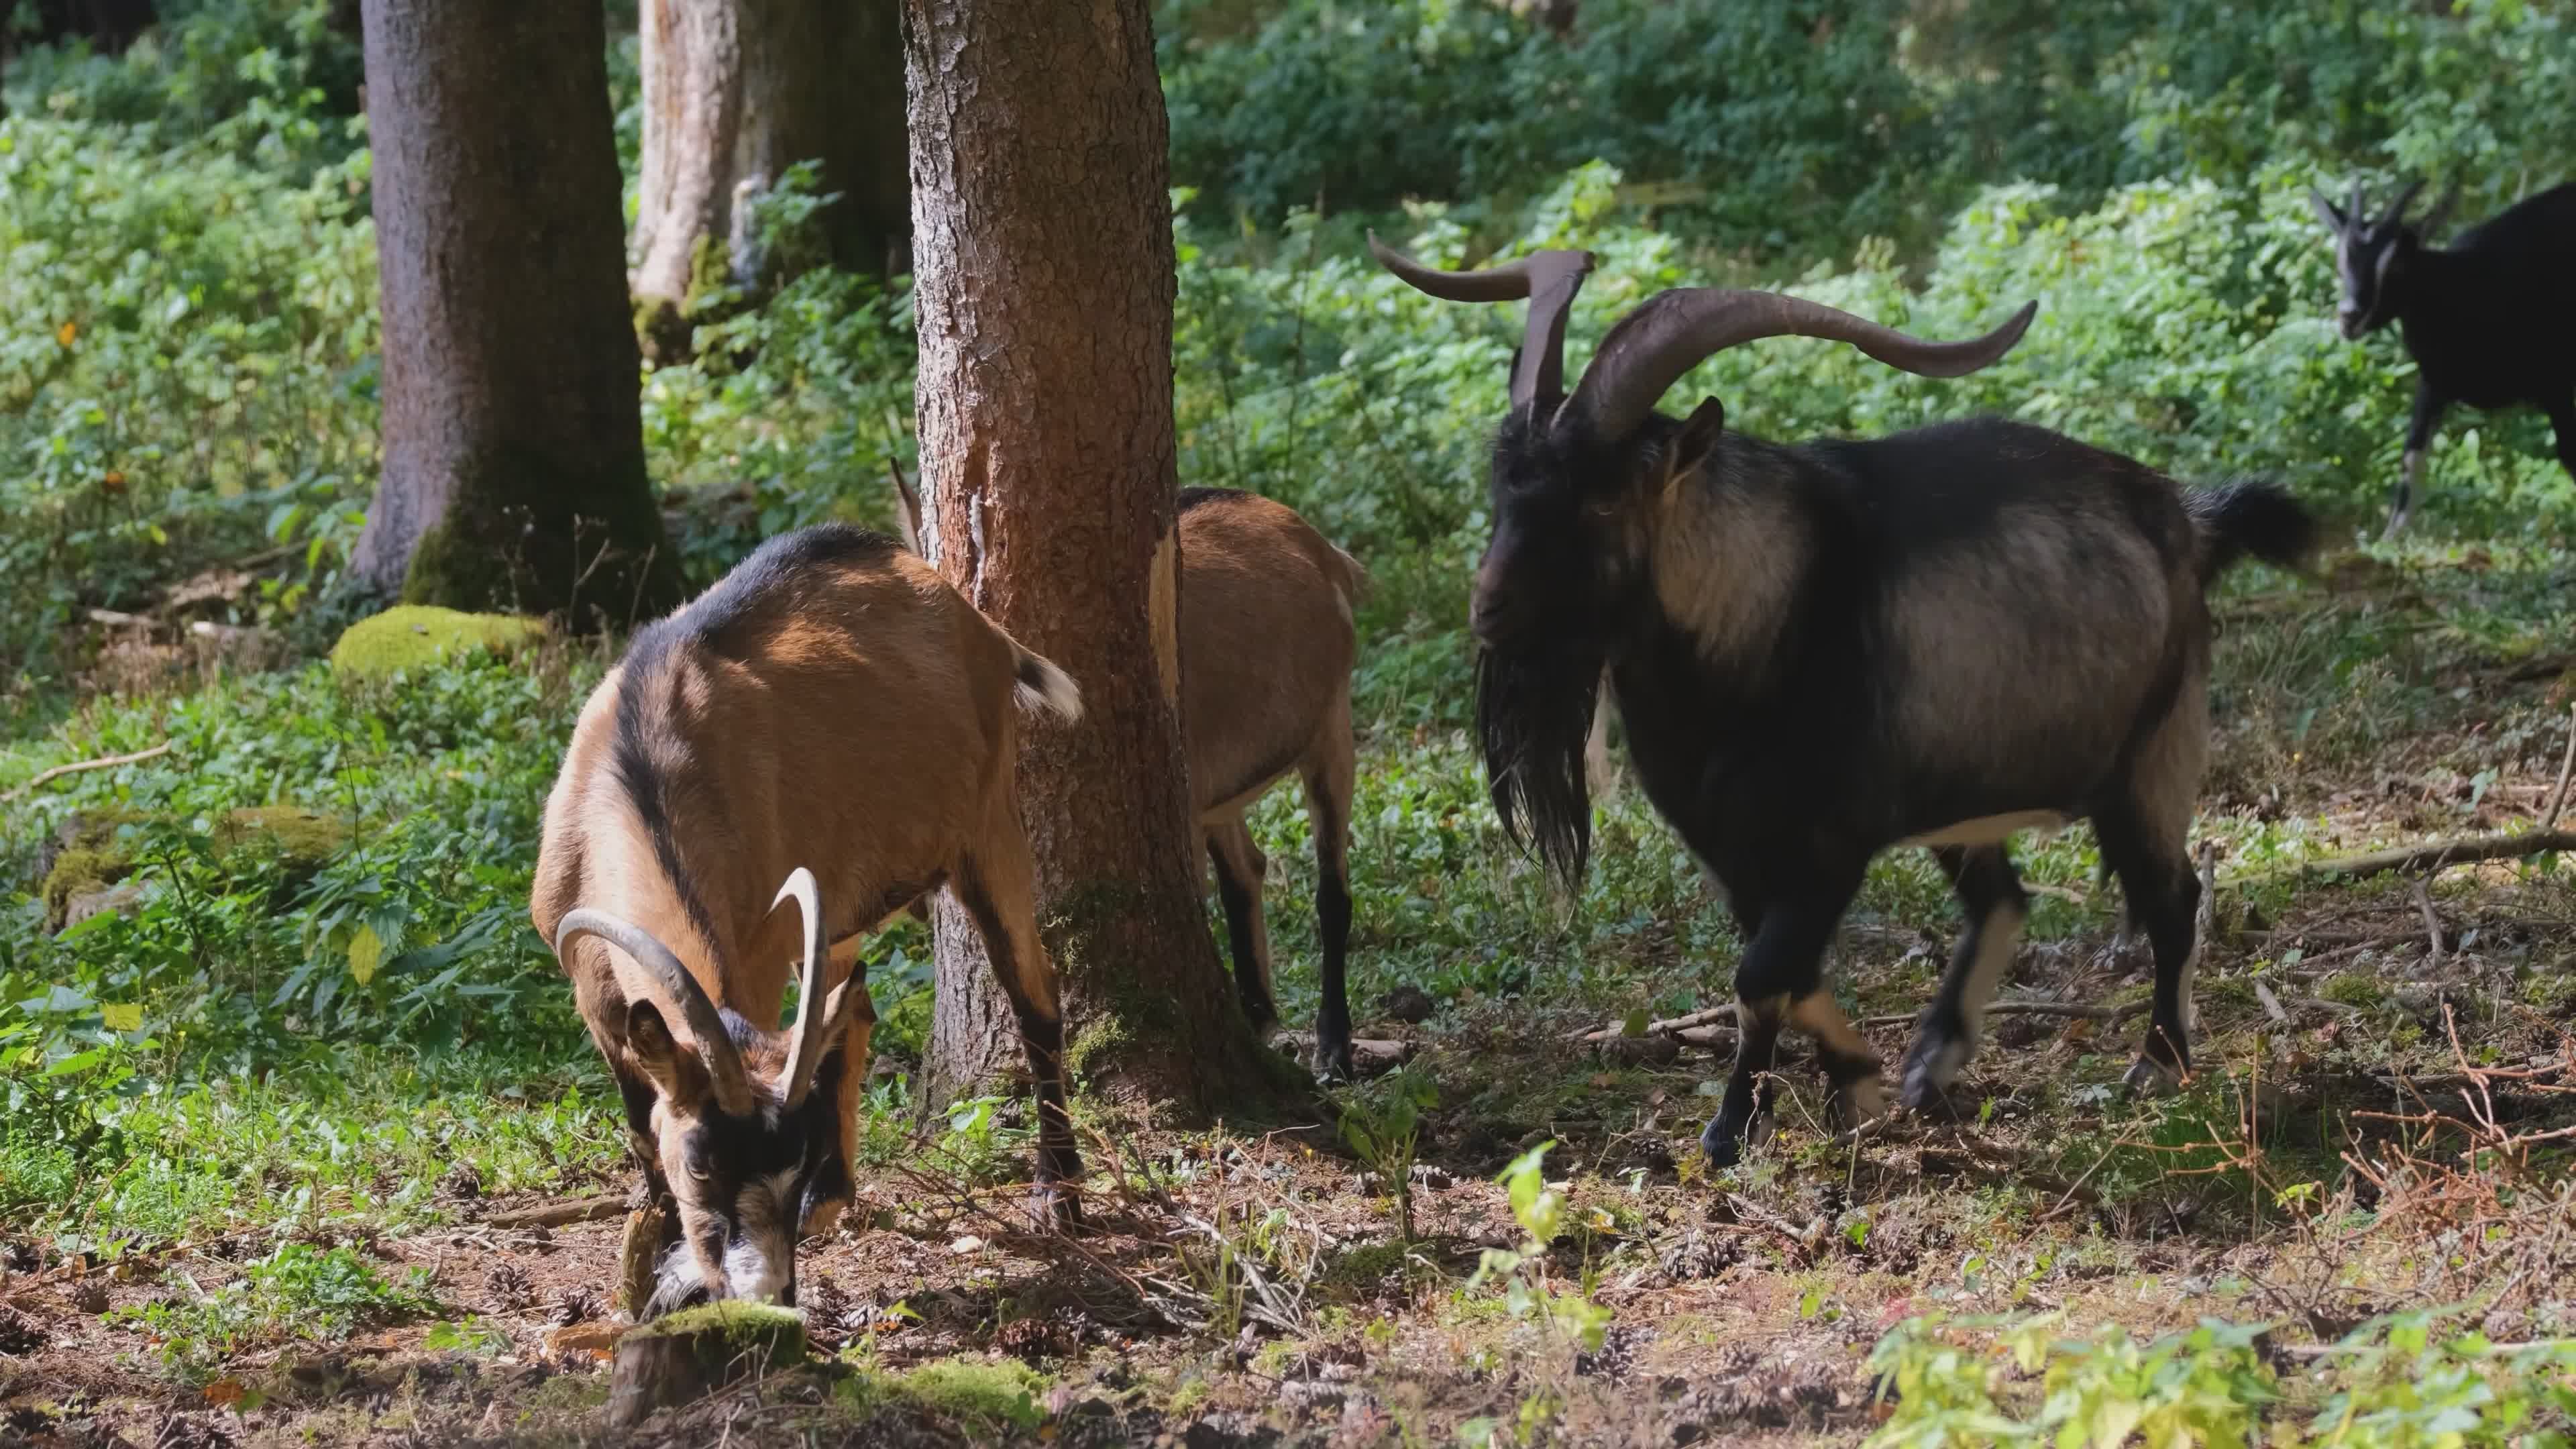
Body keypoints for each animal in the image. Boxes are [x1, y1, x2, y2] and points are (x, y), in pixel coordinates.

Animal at [530, 524, 1085, 1315]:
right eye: (701, 1164)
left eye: (790, 1161)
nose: (769, 1290)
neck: (638, 771)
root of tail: (971, 619)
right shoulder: (593, 989)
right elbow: (641, 1129)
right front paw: (655, 1272)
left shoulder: (753, 955)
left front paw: (682, 1274)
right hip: (842, 902)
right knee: (852, 1008)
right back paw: (844, 1191)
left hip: (989, 824)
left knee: (1034, 991)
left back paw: (1057, 1193)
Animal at [888, 464, 1372, 1078]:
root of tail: (1323, 550)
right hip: (1213, 786)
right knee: (1246, 869)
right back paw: (1260, 1017)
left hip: (1330, 731)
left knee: (1330, 890)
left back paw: (1332, 1046)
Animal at [1371, 235, 2317, 1166]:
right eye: (1502, 485)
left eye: (1602, 499)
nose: (1488, 610)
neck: (1766, 606)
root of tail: (2188, 519)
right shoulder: (1733, 845)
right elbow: (1786, 969)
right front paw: (1854, 1082)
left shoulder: (1831, 838)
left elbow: (1763, 974)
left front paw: (1734, 1128)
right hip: (1965, 793)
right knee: (2004, 898)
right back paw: (1934, 1062)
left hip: (2149, 759)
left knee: (2172, 895)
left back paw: (2156, 1064)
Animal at [2309, 178, 2576, 536]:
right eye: (2341, 261)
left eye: (2398, 265)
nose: (2349, 317)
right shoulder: (2434, 382)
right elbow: (2412, 454)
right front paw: (2391, 537)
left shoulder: (2555, 383)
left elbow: (2569, 452)